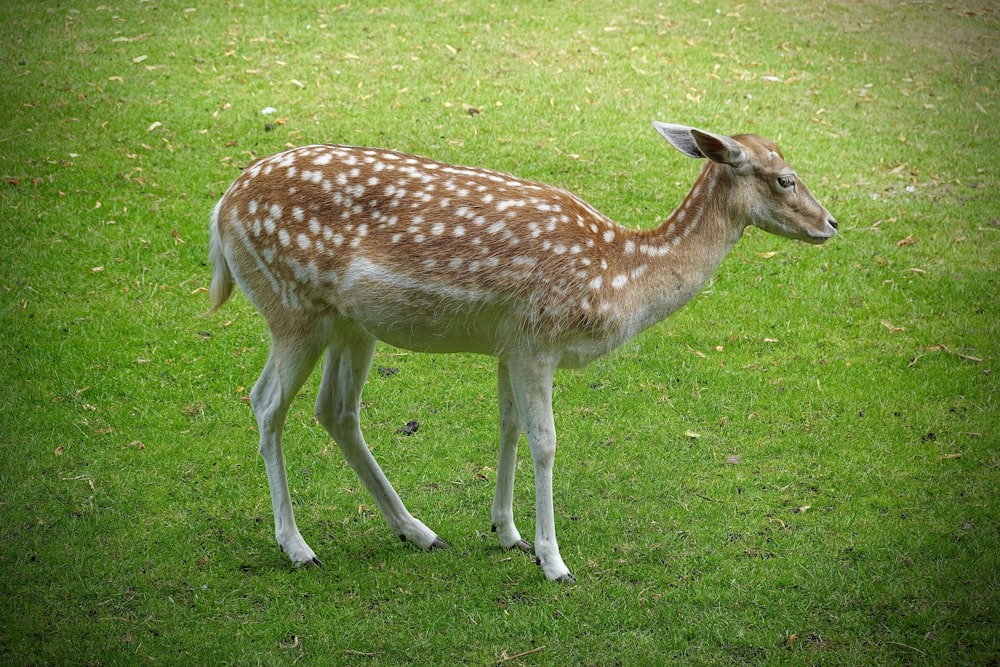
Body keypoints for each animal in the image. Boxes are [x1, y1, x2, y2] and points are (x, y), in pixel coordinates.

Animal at [209, 122, 836, 580]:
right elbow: (545, 442)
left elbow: (508, 426)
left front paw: (506, 532)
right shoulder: (539, 338)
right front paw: (553, 559)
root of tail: (219, 212)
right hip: (293, 307)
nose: (831, 223)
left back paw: (418, 532)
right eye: (785, 179)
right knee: (266, 403)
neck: (619, 276)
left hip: (350, 325)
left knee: (335, 411)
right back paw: (297, 546)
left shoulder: (509, 344)